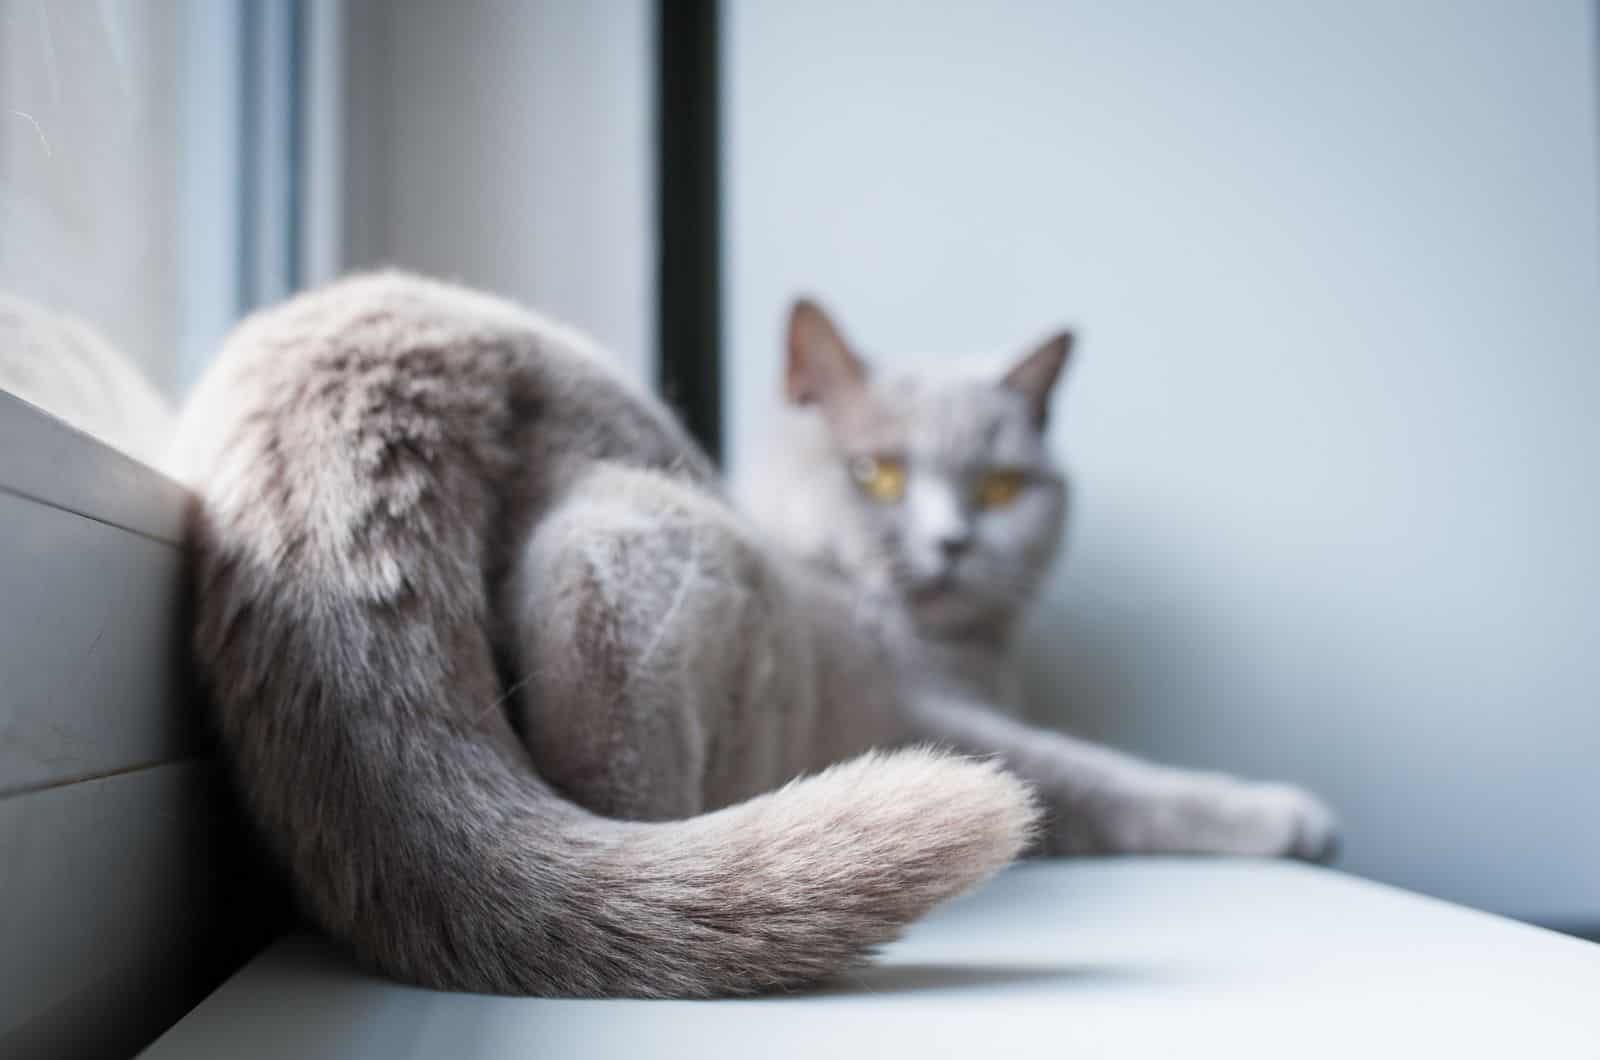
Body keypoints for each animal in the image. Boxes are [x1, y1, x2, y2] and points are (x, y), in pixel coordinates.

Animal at [168, 273, 1331, 1005]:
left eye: (1002, 486)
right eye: (878, 475)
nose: (952, 542)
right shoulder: (933, 715)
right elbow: (1109, 777)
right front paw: (1293, 817)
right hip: (621, 548)